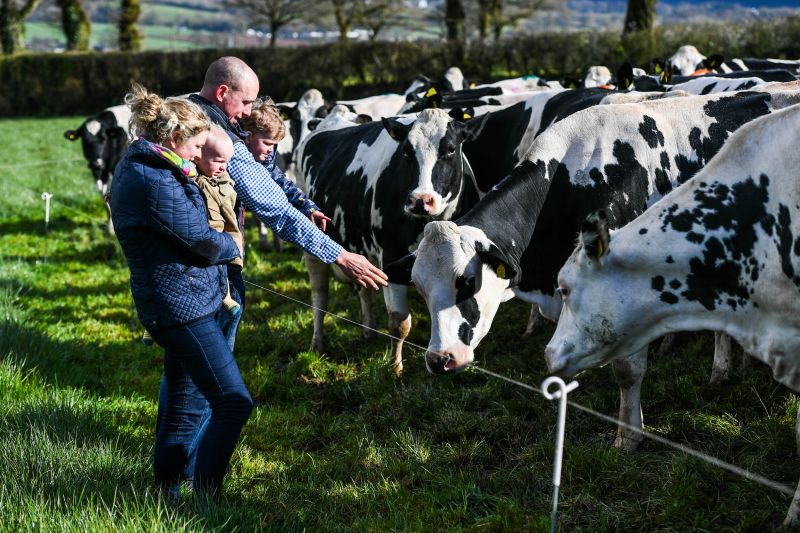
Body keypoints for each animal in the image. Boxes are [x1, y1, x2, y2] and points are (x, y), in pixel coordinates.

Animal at [294, 107, 488, 374]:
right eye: (406, 152)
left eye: (450, 149)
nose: (420, 200)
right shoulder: (391, 255)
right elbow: (399, 323)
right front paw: (395, 368)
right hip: (312, 241)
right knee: (319, 295)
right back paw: (318, 343)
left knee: (363, 288)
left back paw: (368, 330)